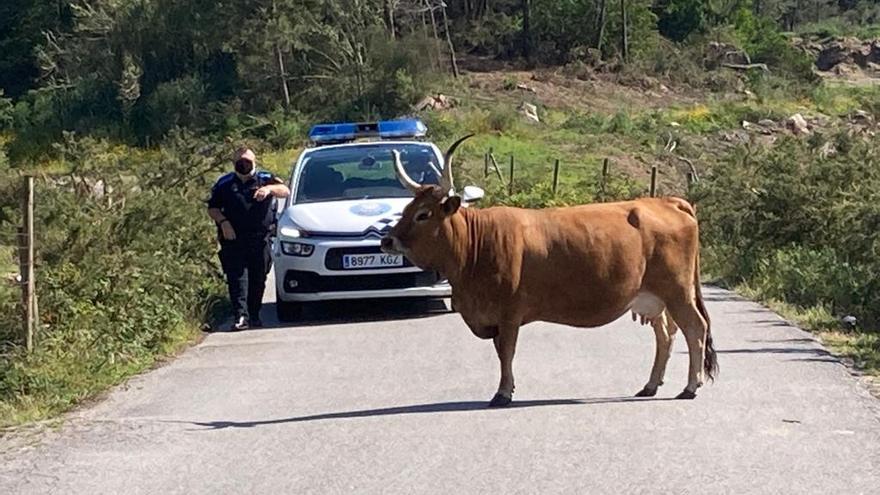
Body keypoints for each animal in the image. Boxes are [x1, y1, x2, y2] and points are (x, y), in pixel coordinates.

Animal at [382, 136, 720, 406]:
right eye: (407, 209)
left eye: (424, 214)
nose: (387, 239)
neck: (476, 246)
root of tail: (668, 201)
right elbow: (501, 352)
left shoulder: (509, 313)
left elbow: (506, 352)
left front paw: (503, 393)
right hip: (654, 298)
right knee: (666, 336)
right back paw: (650, 385)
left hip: (677, 292)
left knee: (695, 329)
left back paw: (690, 387)